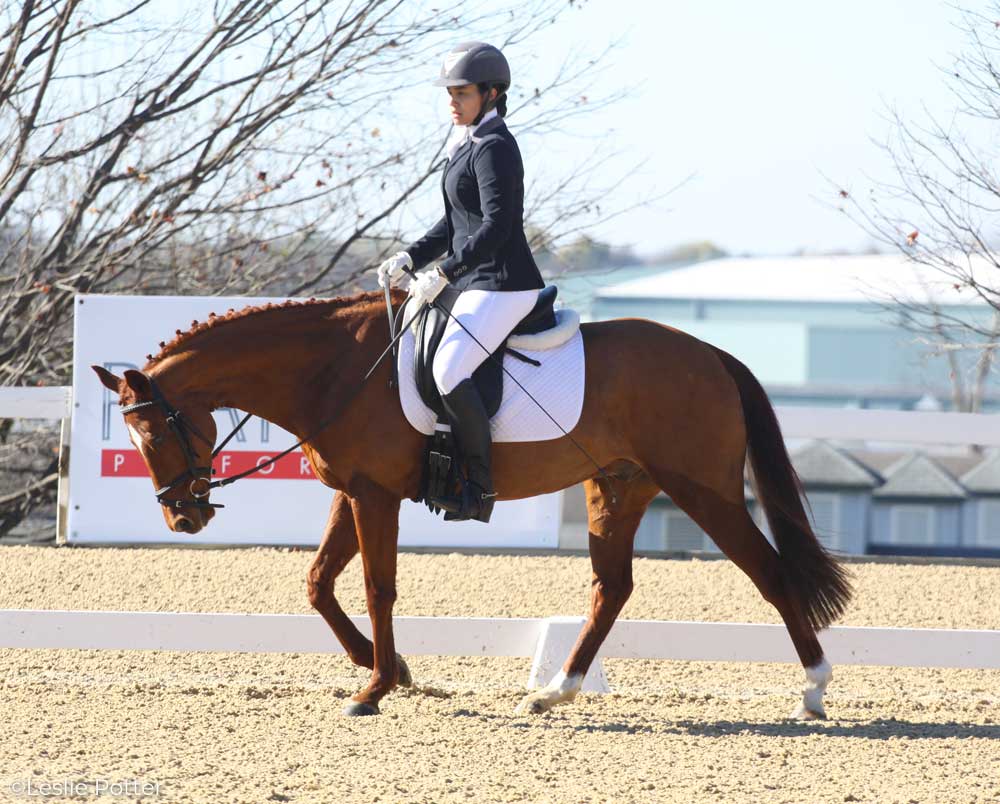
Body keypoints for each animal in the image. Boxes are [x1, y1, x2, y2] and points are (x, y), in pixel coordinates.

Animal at [92, 288, 852, 716]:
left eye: (154, 431)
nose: (182, 515)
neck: (334, 370)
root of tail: (712, 354)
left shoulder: (375, 496)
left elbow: (376, 587)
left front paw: (374, 689)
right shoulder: (353, 492)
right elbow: (318, 584)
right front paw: (388, 669)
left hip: (702, 489)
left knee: (769, 572)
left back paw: (814, 690)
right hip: (617, 486)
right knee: (612, 588)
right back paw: (552, 692)